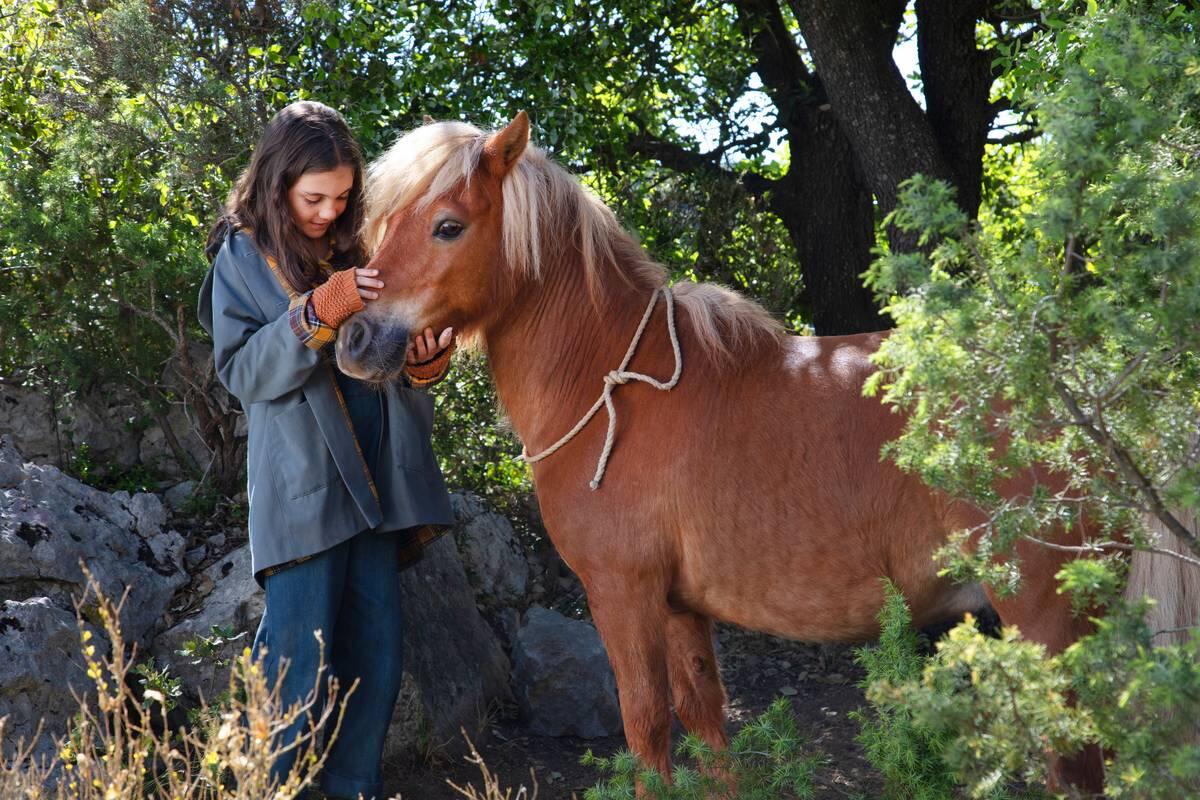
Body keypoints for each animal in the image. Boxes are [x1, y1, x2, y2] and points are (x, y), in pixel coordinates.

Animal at [333, 112, 1195, 796]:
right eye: (386, 222)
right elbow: (708, 728)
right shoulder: (681, 610)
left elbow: (647, 731)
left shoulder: (624, 595)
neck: (611, 385)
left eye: (448, 225)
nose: (354, 338)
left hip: (1049, 627)